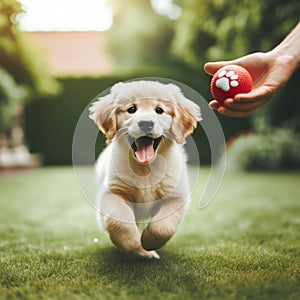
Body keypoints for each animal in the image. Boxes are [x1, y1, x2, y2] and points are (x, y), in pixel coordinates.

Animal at [89, 81, 202, 258]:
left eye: (159, 110)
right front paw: (133, 243)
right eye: (131, 109)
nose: (146, 123)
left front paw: (148, 242)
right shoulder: (112, 191)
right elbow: (119, 220)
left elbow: (162, 227)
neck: (145, 169)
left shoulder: (176, 196)